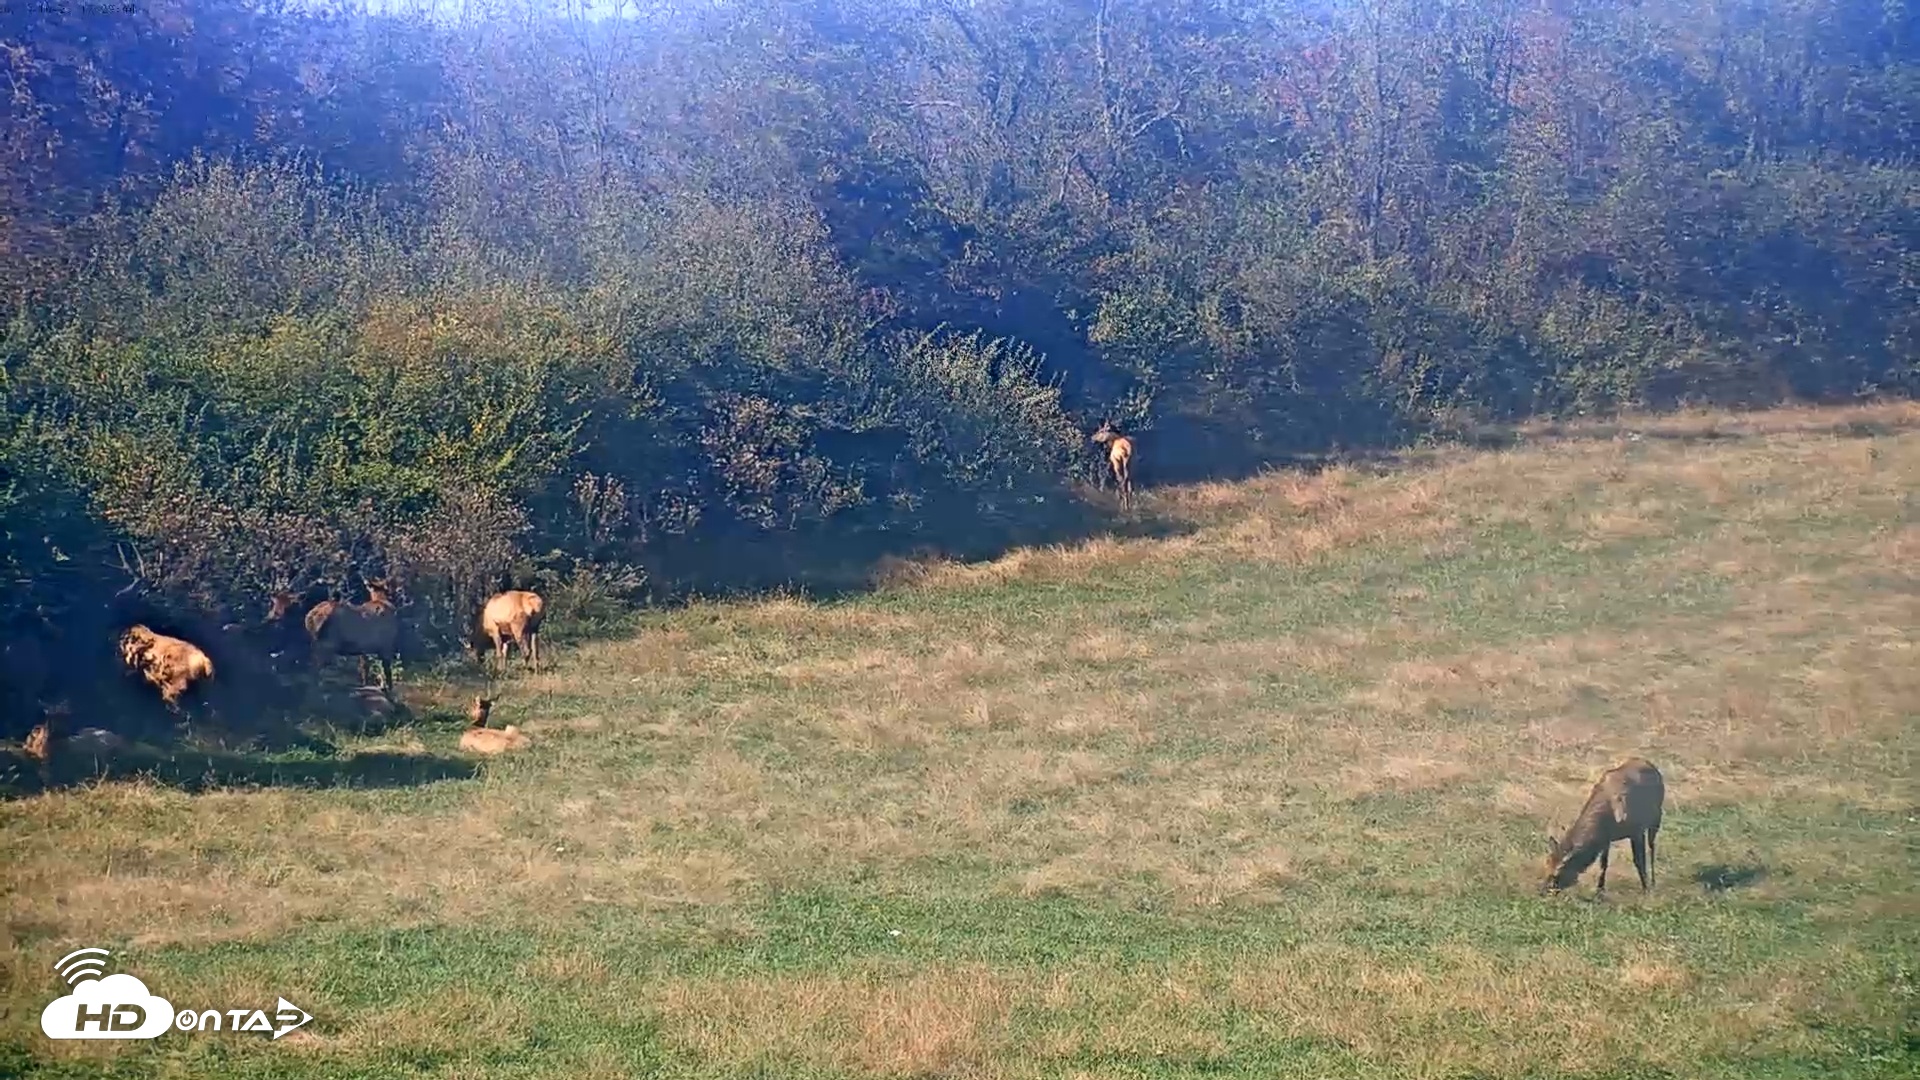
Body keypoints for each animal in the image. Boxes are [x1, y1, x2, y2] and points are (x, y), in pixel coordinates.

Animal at [1542, 757, 1665, 896]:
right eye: (1547, 865)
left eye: (1557, 874)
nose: (1543, 890)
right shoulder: (1606, 838)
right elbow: (1603, 864)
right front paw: (1599, 890)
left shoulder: (1637, 831)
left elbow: (1639, 861)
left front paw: (1646, 889)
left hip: (1656, 819)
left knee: (1652, 848)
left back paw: (1653, 882)